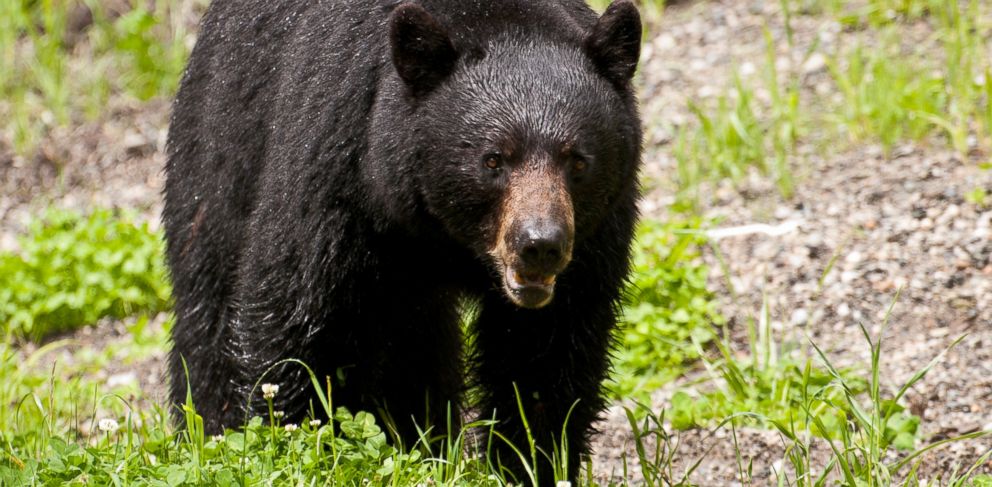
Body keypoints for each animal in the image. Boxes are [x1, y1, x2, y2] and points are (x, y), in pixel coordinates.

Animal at [163, 0, 644, 482]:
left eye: (577, 160)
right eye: (493, 159)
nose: (540, 244)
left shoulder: (594, 240)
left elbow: (548, 355)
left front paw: (533, 462)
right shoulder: (338, 169)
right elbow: (298, 313)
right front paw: (296, 446)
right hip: (219, 149)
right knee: (207, 303)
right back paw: (209, 430)